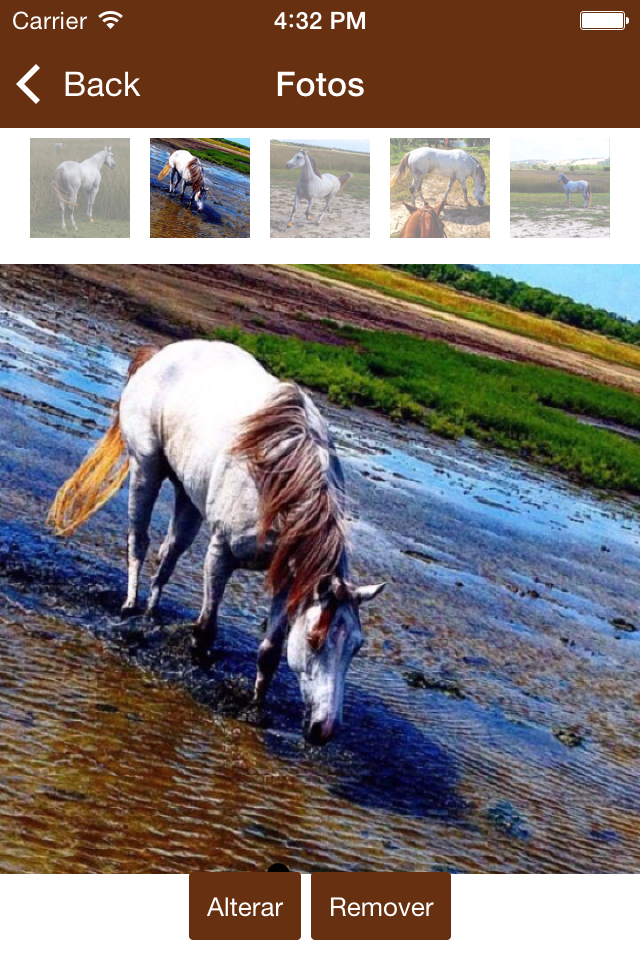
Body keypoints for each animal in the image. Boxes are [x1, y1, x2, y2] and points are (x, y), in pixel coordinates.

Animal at [48, 340, 385, 745]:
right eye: (314, 640)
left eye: (356, 646)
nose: (325, 729)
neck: (278, 478)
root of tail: (160, 355)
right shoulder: (220, 553)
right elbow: (206, 628)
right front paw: (197, 673)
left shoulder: (288, 577)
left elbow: (270, 651)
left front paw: (256, 705)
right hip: (146, 469)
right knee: (139, 541)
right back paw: (129, 606)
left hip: (187, 494)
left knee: (169, 554)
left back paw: (150, 613)